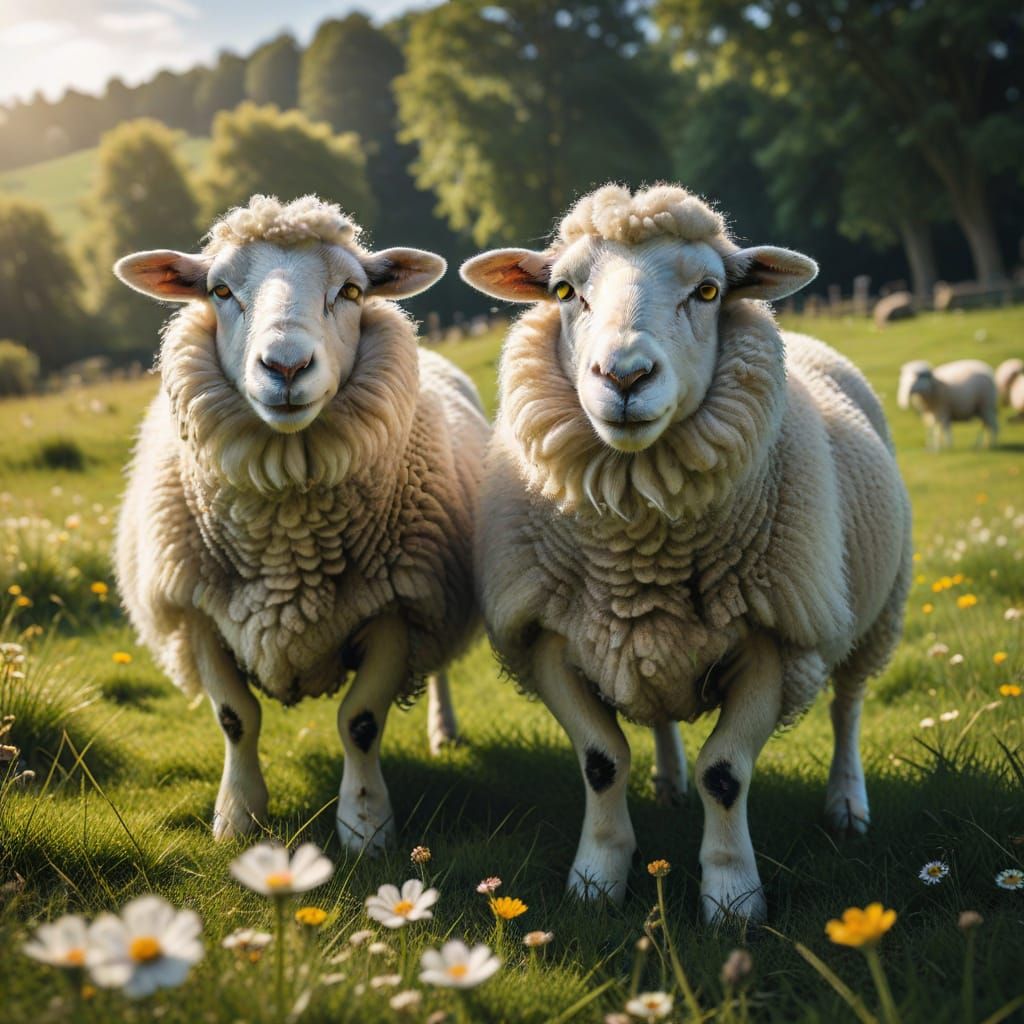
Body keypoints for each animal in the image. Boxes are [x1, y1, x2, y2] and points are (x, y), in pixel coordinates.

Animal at [113, 194, 489, 850]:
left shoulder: (397, 606)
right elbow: (236, 719)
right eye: (218, 290)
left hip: (436, 594)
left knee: (437, 668)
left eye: (352, 290)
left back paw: (444, 732)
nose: (286, 367)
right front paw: (237, 818)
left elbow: (360, 721)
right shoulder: (197, 611)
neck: (289, 538)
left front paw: (366, 827)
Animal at [460, 183, 911, 922]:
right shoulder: (546, 636)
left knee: (848, 705)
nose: (624, 376)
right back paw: (669, 783)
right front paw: (596, 879)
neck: (642, 553)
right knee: (661, 718)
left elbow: (725, 774)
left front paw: (732, 898)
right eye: (563, 291)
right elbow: (602, 762)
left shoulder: (773, 639)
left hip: (870, 611)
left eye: (707, 291)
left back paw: (847, 806)